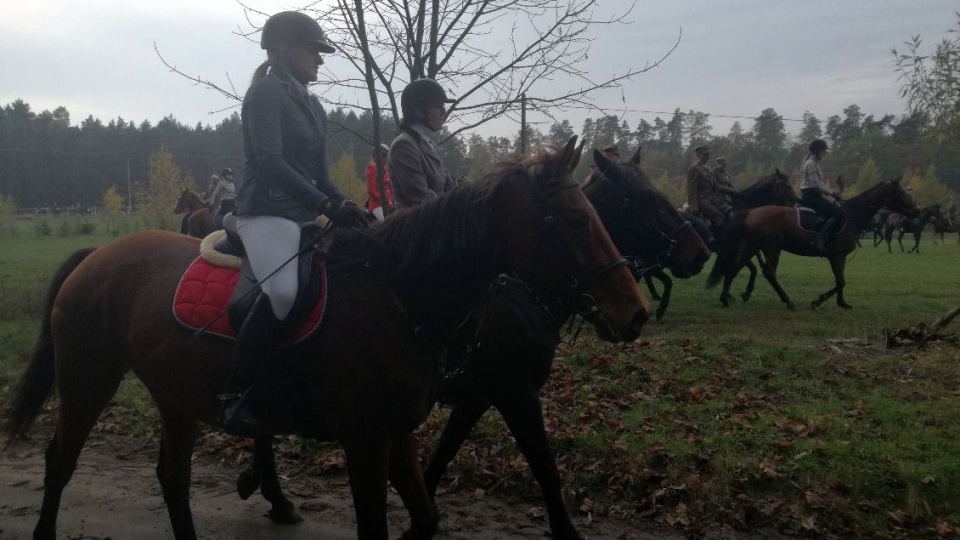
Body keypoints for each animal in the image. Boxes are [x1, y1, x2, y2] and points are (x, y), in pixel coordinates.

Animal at [3, 137, 648, 540]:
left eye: (597, 212)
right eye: (573, 220)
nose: (636, 312)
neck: (398, 292)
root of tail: (98, 256)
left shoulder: (403, 430)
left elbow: (427, 515)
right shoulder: (372, 438)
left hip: (176, 396)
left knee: (173, 477)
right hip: (89, 379)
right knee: (61, 460)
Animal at [232, 148, 696, 540]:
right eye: (644, 200)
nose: (636, 313)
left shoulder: (477, 396)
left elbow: (442, 454)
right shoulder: (514, 392)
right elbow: (545, 467)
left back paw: (269, 491)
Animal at [708, 179, 920, 310]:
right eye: (901, 193)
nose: (917, 210)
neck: (852, 215)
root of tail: (751, 212)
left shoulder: (839, 258)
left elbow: (840, 281)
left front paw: (842, 303)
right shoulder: (837, 256)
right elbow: (840, 281)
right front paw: (818, 301)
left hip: (752, 247)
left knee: (734, 267)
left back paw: (726, 298)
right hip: (771, 248)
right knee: (768, 273)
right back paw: (788, 302)